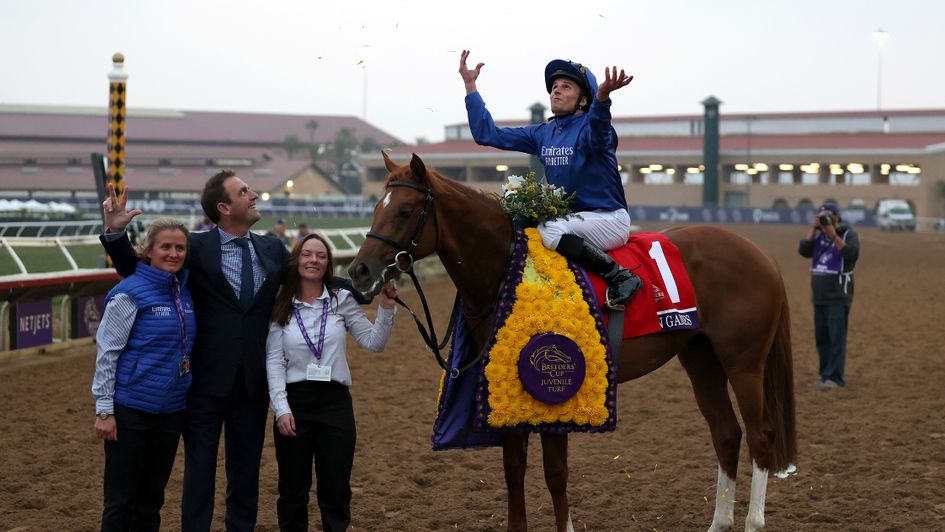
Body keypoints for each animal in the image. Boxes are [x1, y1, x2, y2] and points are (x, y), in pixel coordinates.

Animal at [350, 154, 792, 532]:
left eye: (405, 211)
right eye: (376, 208)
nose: (359, 271)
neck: (505, 268)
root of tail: (762, 254)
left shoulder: (556, 390)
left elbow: (555, 474)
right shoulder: (508, 393)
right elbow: (514, 469)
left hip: (744, 364)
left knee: (760, 437)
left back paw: (753, 522)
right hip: (701, 358)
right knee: (726, 434)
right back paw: (719, 522)